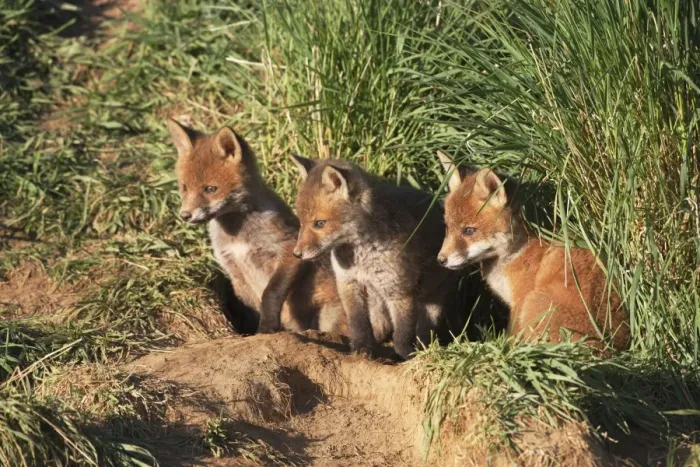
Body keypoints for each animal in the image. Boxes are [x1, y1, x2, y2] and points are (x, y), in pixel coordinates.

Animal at [166, 119, 347, 336]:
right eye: (184, 187)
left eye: (210, 189)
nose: (185, 215)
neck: (238, 237)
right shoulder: (235, 272)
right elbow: (250, 309)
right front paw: (251, 333)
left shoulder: (288, 250)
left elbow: (270, 294)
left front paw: (267, 328)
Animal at [289, 155, 460, 360]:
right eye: (301, 222)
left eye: (320, 223)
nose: (297, 254)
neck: (362, 257)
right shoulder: (349, 283)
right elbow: (358, 323)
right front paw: (361, 348)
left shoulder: (400, 290)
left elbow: (402, 333)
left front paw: (405, 355)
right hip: (376, 298)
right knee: (380, 325)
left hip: (432, 299)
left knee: (424, 330)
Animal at [435, 151, 629, 349]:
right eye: (448, 227)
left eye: (469, 231)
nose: (441, 260)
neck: (518, 250)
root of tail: (608, 347)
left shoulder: (519, 301)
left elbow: (512, 336)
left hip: (533, 304)